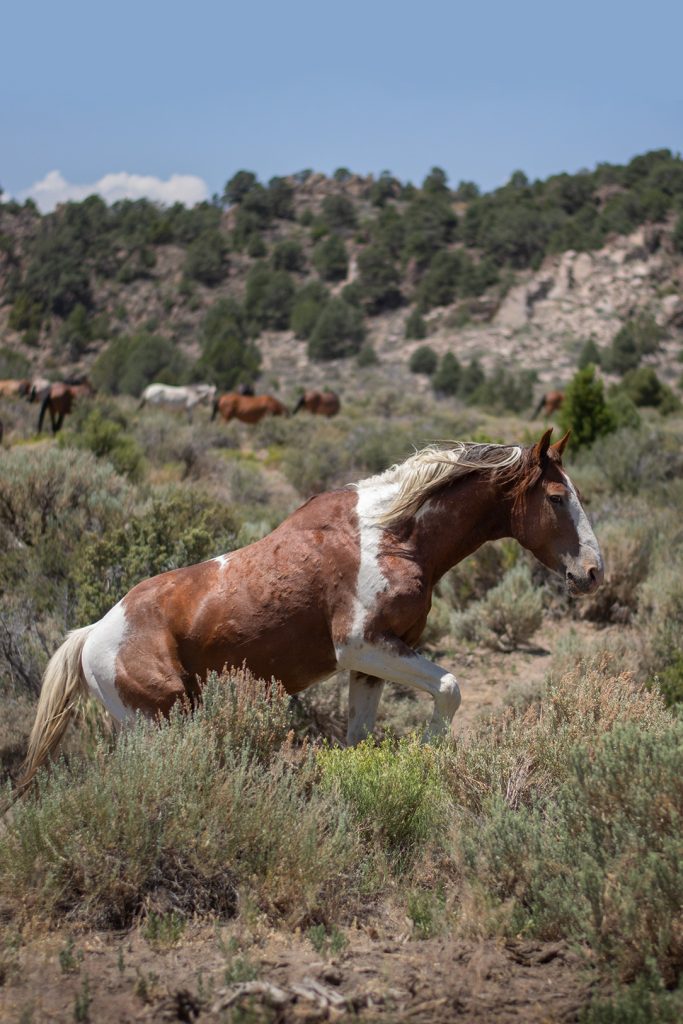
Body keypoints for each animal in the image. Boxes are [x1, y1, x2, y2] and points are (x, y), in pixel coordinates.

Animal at [17, 428, 602, 794]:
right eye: (556, 497)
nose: (594, 572)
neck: (392, 534)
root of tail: (93, 632)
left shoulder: (374, 663)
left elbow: (361, 738)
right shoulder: (361, 646)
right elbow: (450, 687)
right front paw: (428, 758)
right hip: (162, 720)